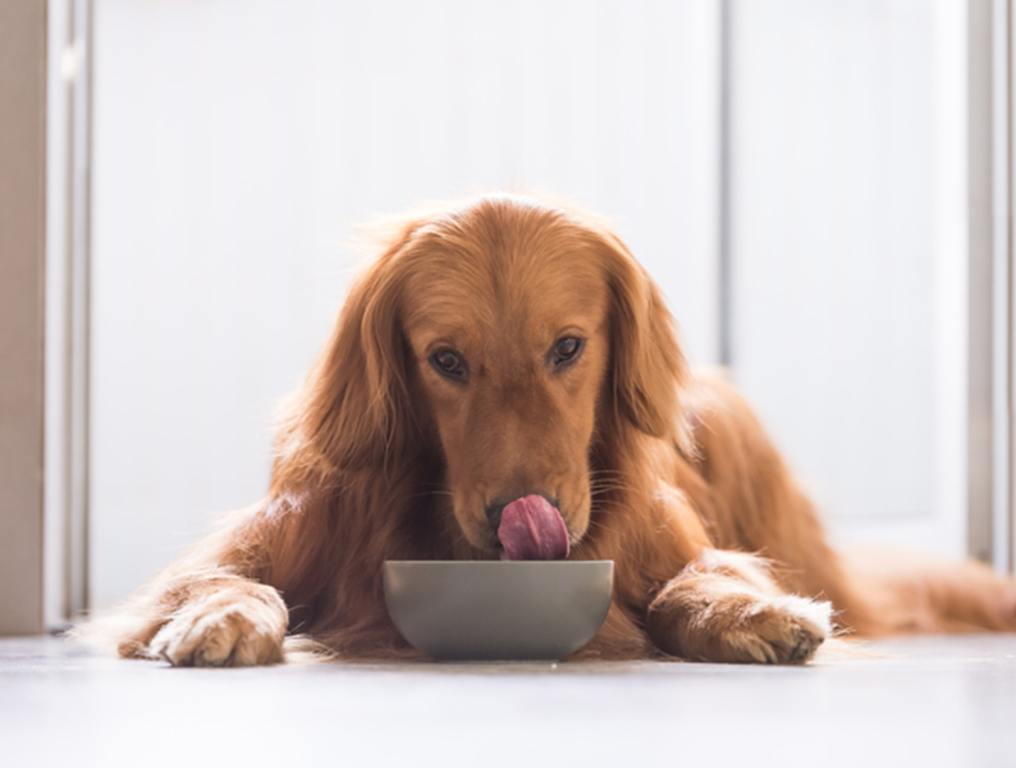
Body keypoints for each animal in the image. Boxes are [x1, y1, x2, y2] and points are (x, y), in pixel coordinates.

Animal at [91, 193, 1011, 666]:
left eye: (568, 347)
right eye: (446, 360)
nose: (520, 518)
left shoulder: (674, 542)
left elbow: (693, 579)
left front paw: (743, 612)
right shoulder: (271, 535)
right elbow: (217, 579)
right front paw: (221, 617)